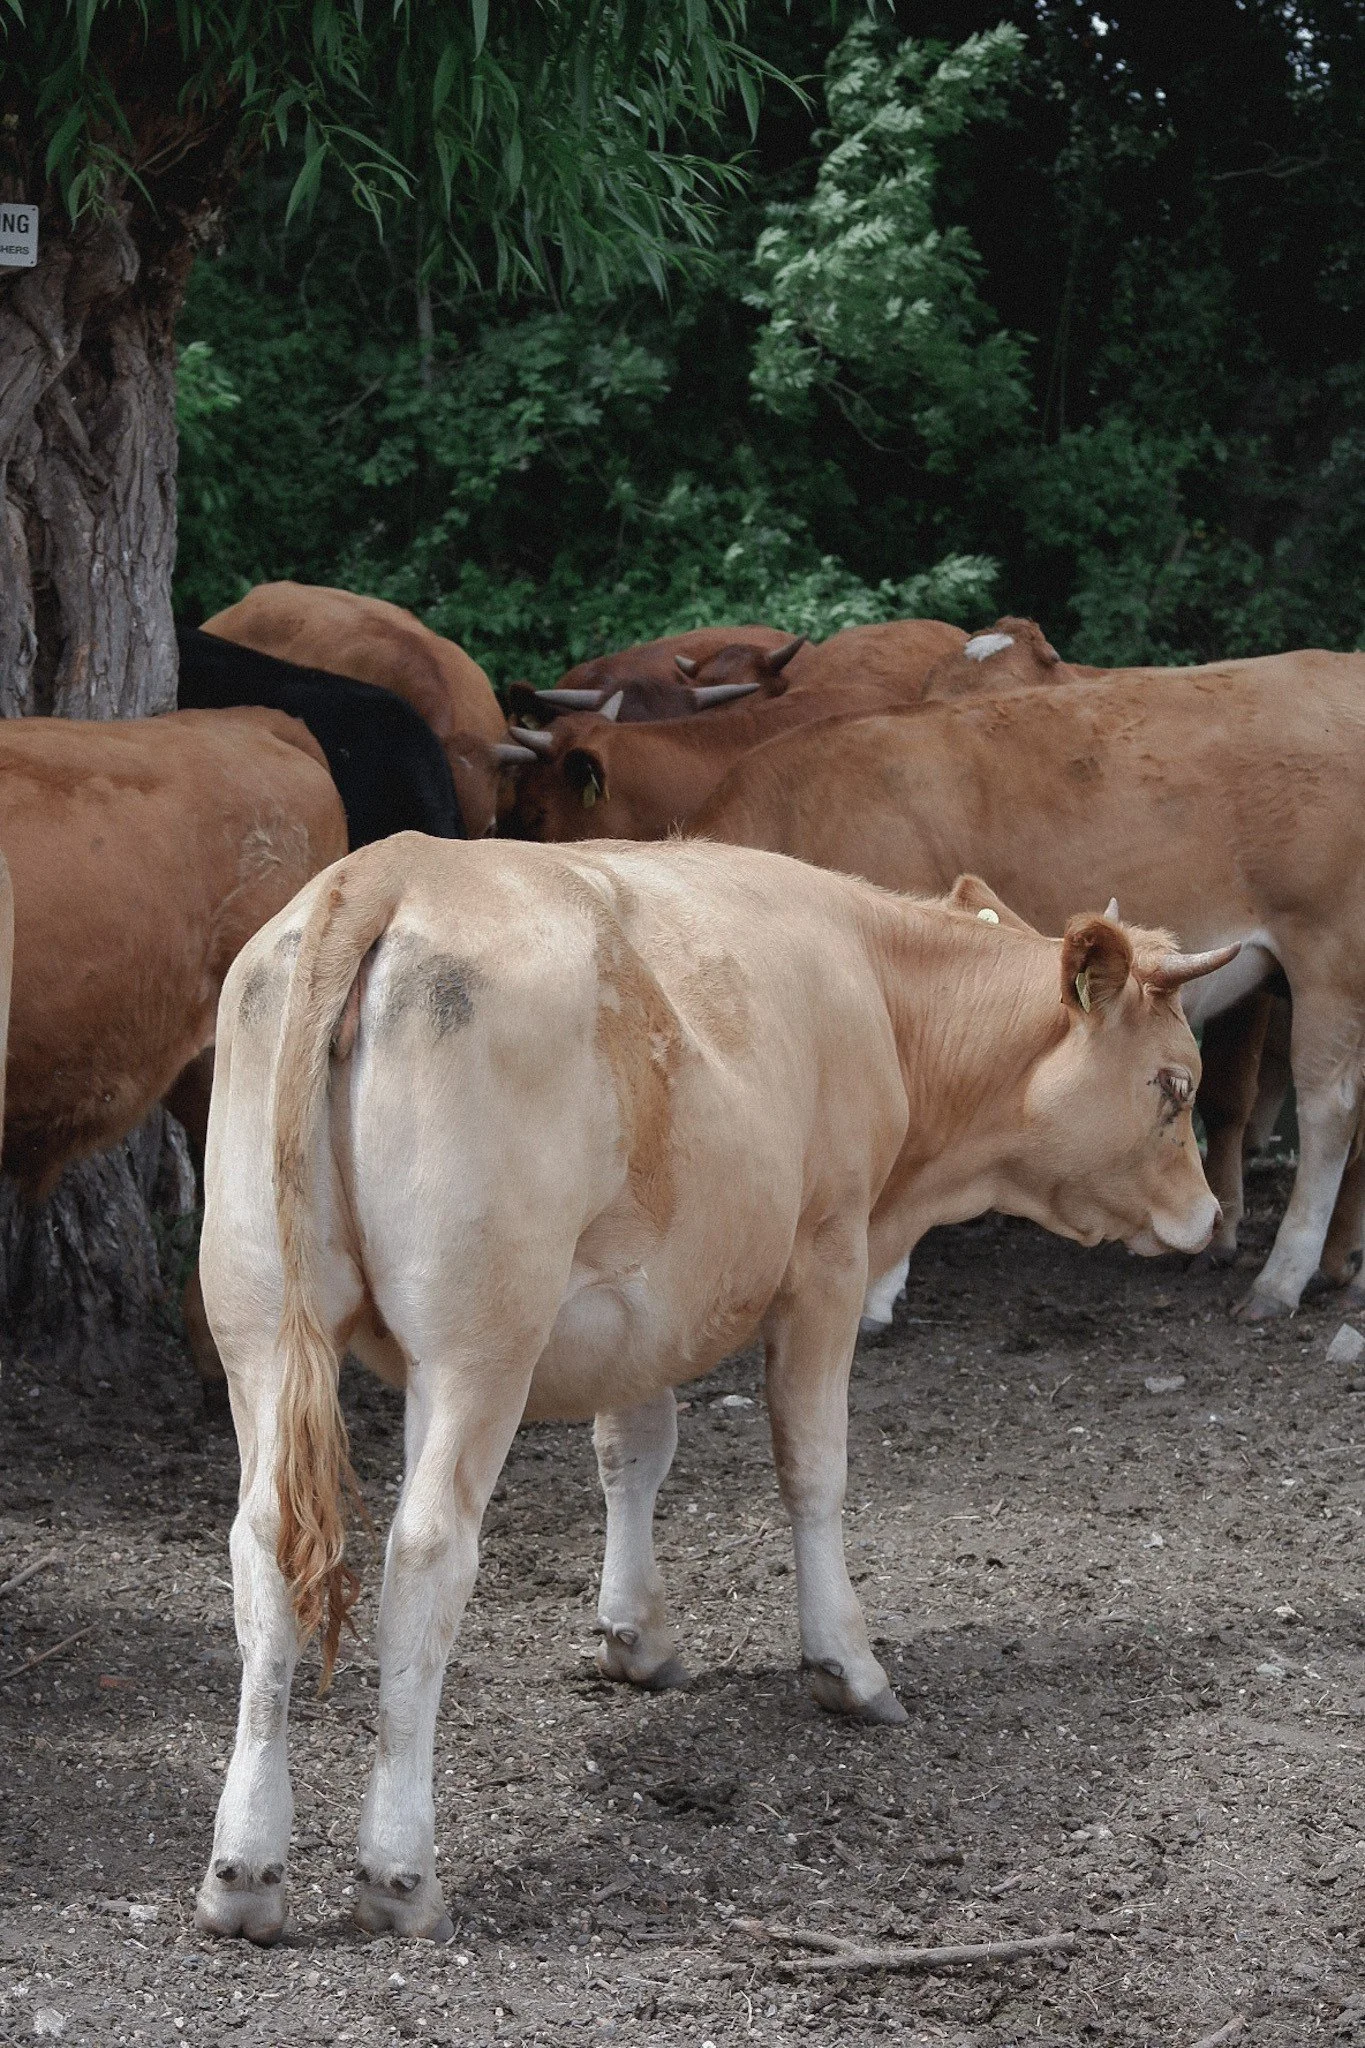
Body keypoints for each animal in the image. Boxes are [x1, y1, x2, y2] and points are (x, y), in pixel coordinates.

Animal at [194, 832, 1227, 1945]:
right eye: (1174, 1087)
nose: (1212, 1217)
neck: (878, 986)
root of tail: (393, 865)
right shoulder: (828, 1253)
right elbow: (812, 1466)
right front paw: (844, 1666)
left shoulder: (635, 1297)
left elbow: (633, 1451)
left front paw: (634, 1634)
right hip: (477, 1341)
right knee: (426, 1551)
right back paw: (398, 1869)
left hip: (259, 1320)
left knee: (263, 1543)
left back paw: (243, 1869)